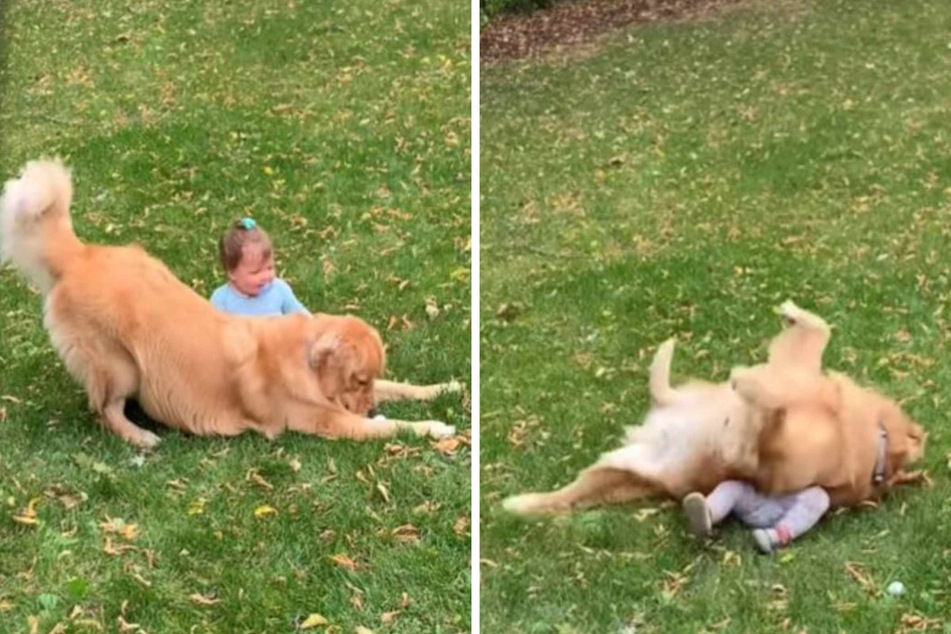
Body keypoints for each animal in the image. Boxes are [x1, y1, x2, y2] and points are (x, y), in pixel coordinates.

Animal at [0, 160, 462, 452]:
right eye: (358, 379)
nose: (372, 410)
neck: (304, 360)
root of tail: (79, 254)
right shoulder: (331, 421)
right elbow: (397, 426)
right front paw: (434, 426)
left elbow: (405, 386)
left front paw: (446, 387)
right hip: (120, 366)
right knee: (103, 410)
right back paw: (140, 437)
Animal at [502, 298, 924, 512]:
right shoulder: (794, 365)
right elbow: (820, 328)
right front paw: (790, 313)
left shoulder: (774, 460)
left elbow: (755, 430)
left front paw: (747, 386)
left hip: (618, 470)